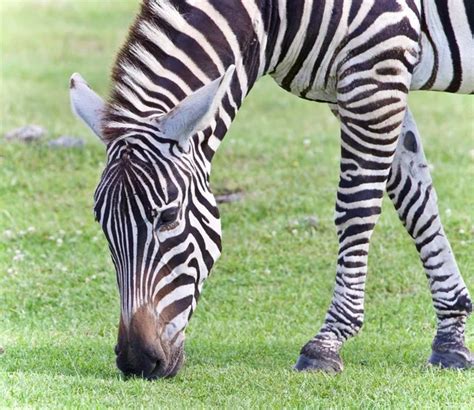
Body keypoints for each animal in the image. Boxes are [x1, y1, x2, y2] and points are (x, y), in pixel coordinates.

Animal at [68, 0, 472, 378]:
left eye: (167, 217)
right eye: (102, 222)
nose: (136, 361)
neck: (275, 16)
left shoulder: (375, 71)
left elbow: (356, 208)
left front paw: (327, 342)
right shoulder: (356, 85)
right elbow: (415, 200)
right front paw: (450, 339)